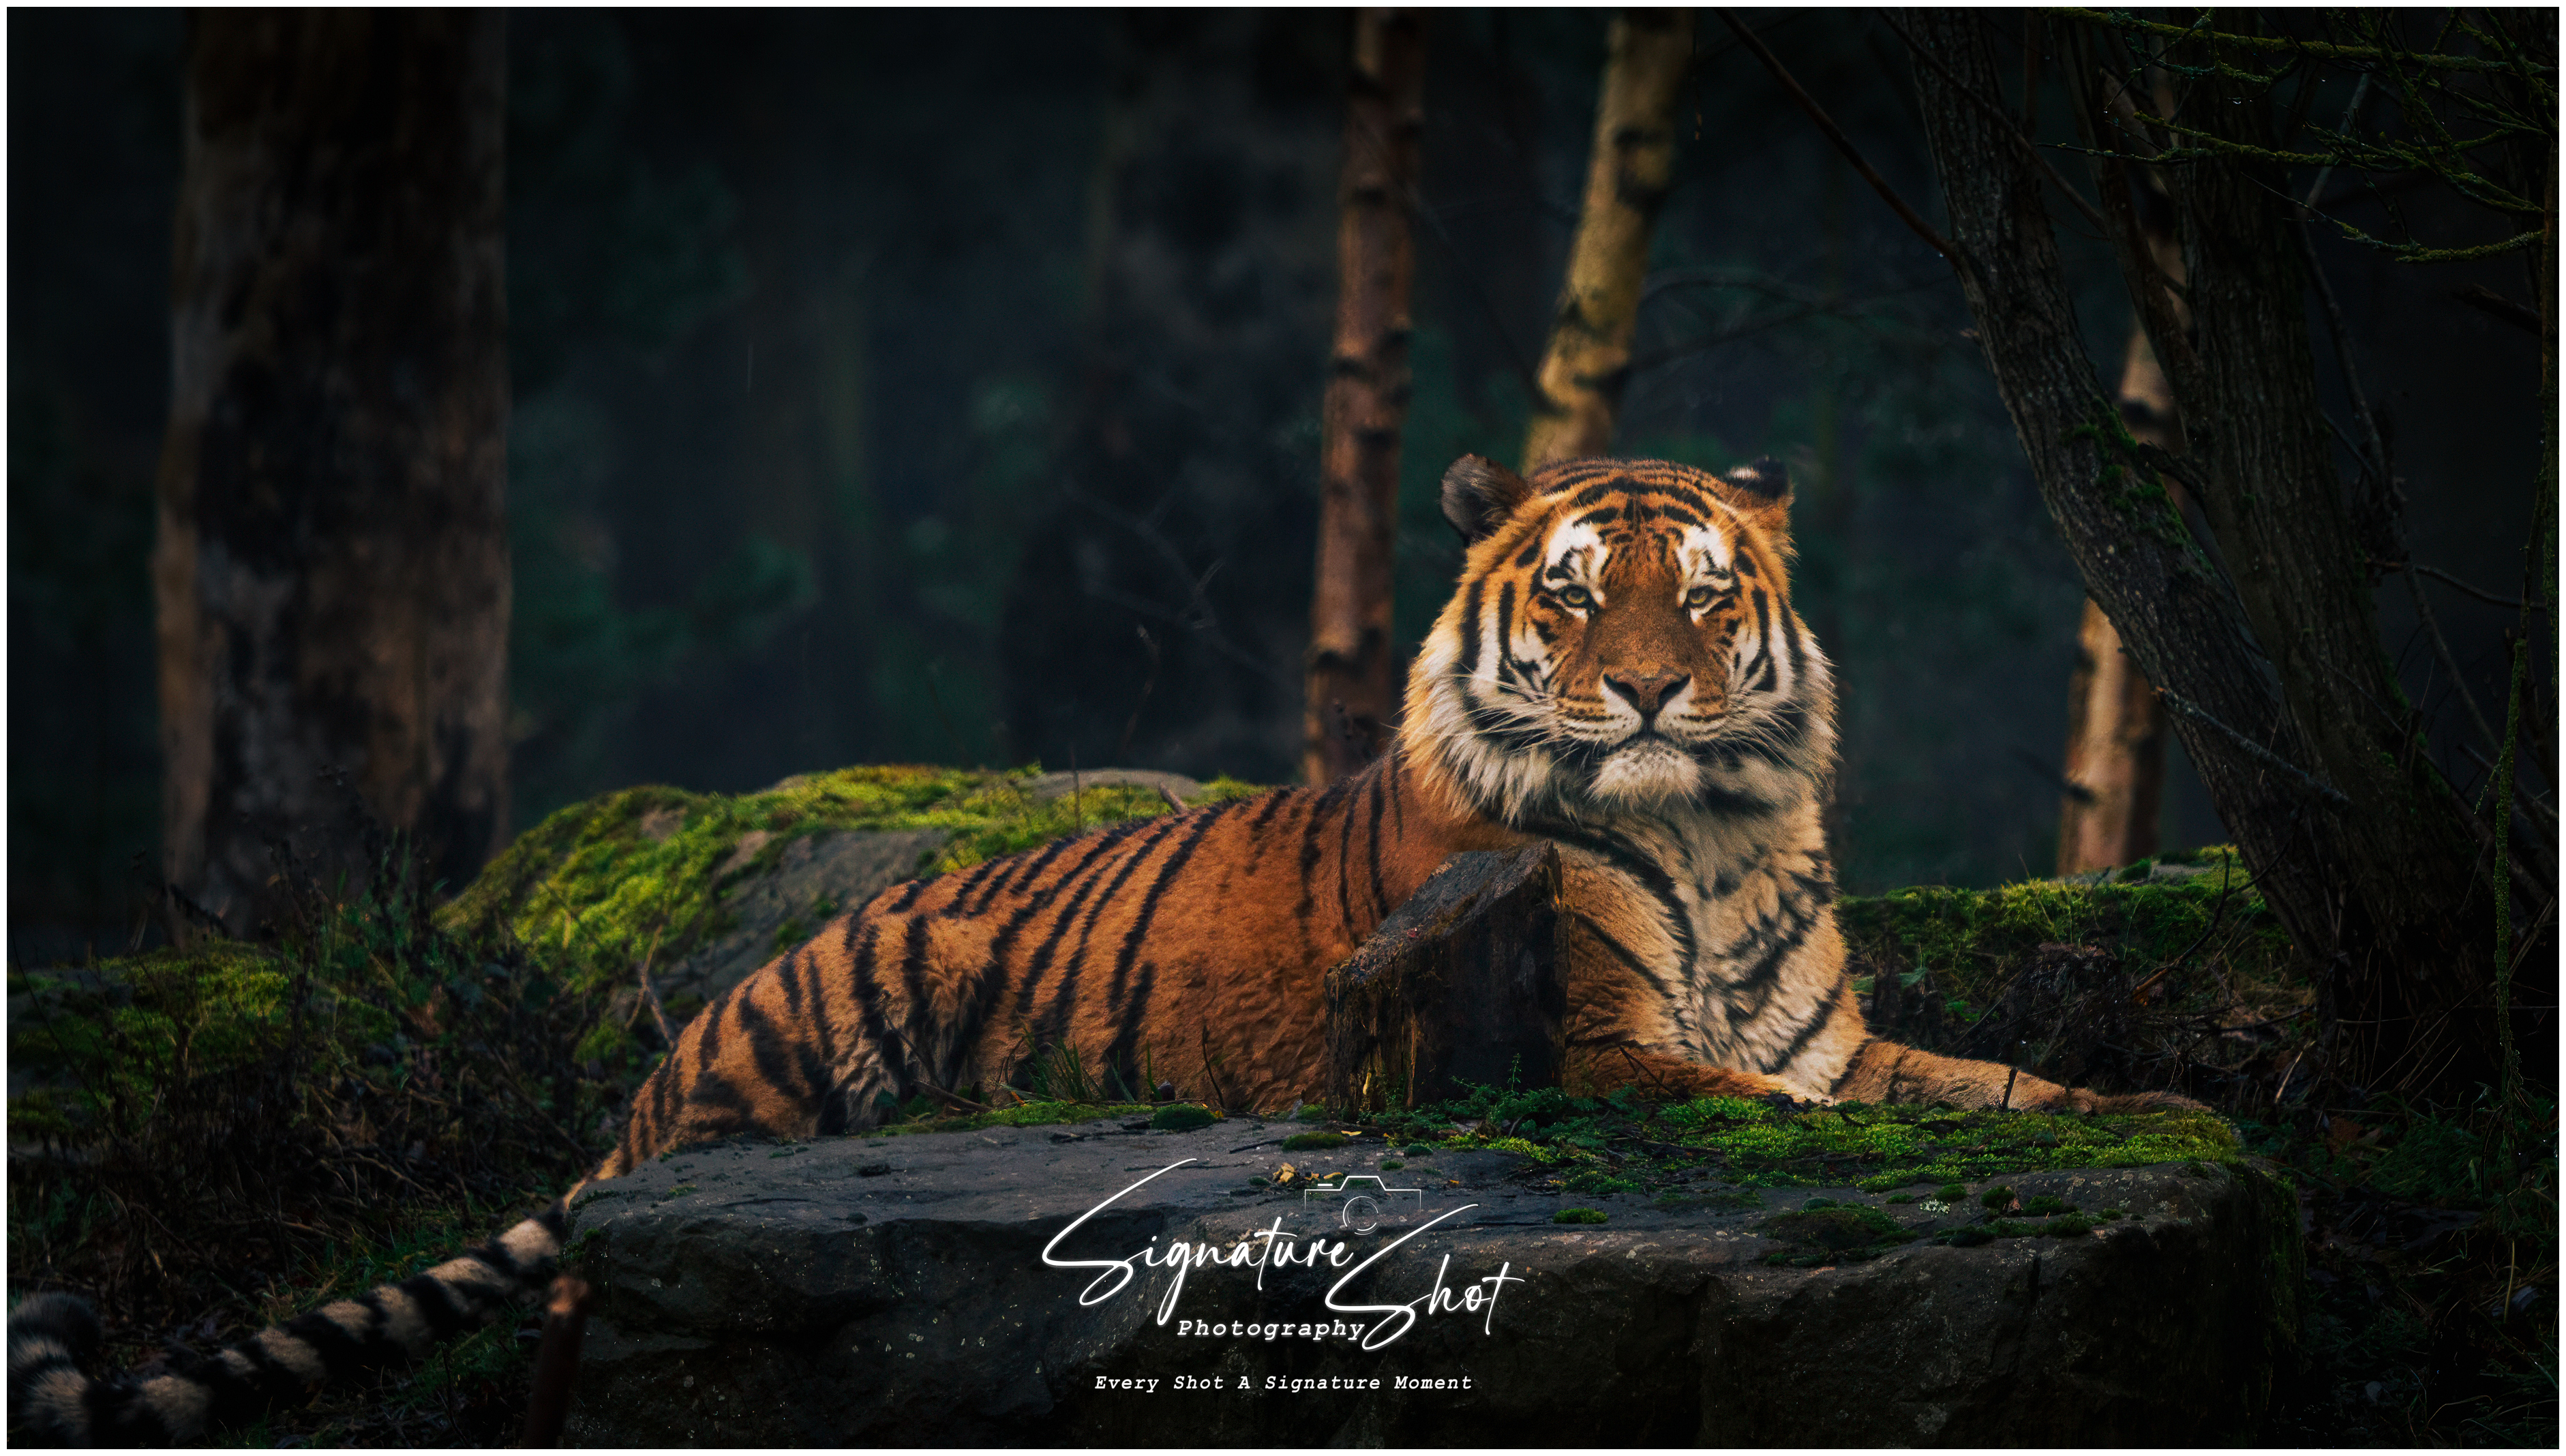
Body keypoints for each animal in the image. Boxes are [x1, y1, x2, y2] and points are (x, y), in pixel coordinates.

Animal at [8, 454, 2190, 1443]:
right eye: (1573, 601)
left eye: (1703, 595)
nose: (1649, 693)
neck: (1719, 834)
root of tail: (676, 1046)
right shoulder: (1601, 1069)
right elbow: (1806, 1127)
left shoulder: (1830, 1045)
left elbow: (1996, 1086)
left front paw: (2158, 1118)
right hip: (777, 1075)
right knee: (582, 1295)